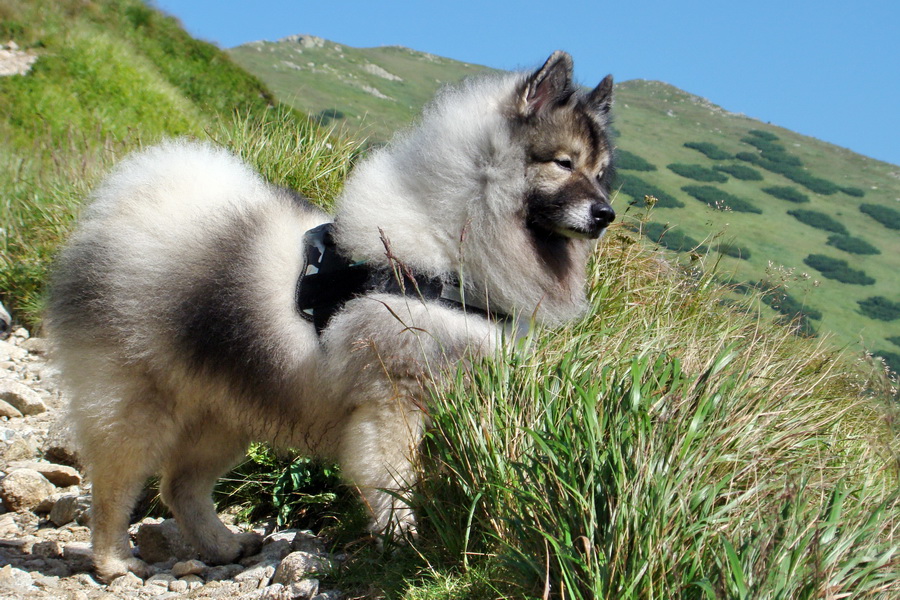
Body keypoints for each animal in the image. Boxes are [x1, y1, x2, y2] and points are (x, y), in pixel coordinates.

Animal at [47, 51, 612, 580]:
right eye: (563, 163)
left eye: (600, 173)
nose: (606, 214)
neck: (445, 246)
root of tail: (124, 208)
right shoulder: (392, 401)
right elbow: (392, 481)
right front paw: (401, 541)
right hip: (137, 404)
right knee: (115, 487)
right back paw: (115, 561)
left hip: (224, 412)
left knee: (179, 485)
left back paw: (222, 545)